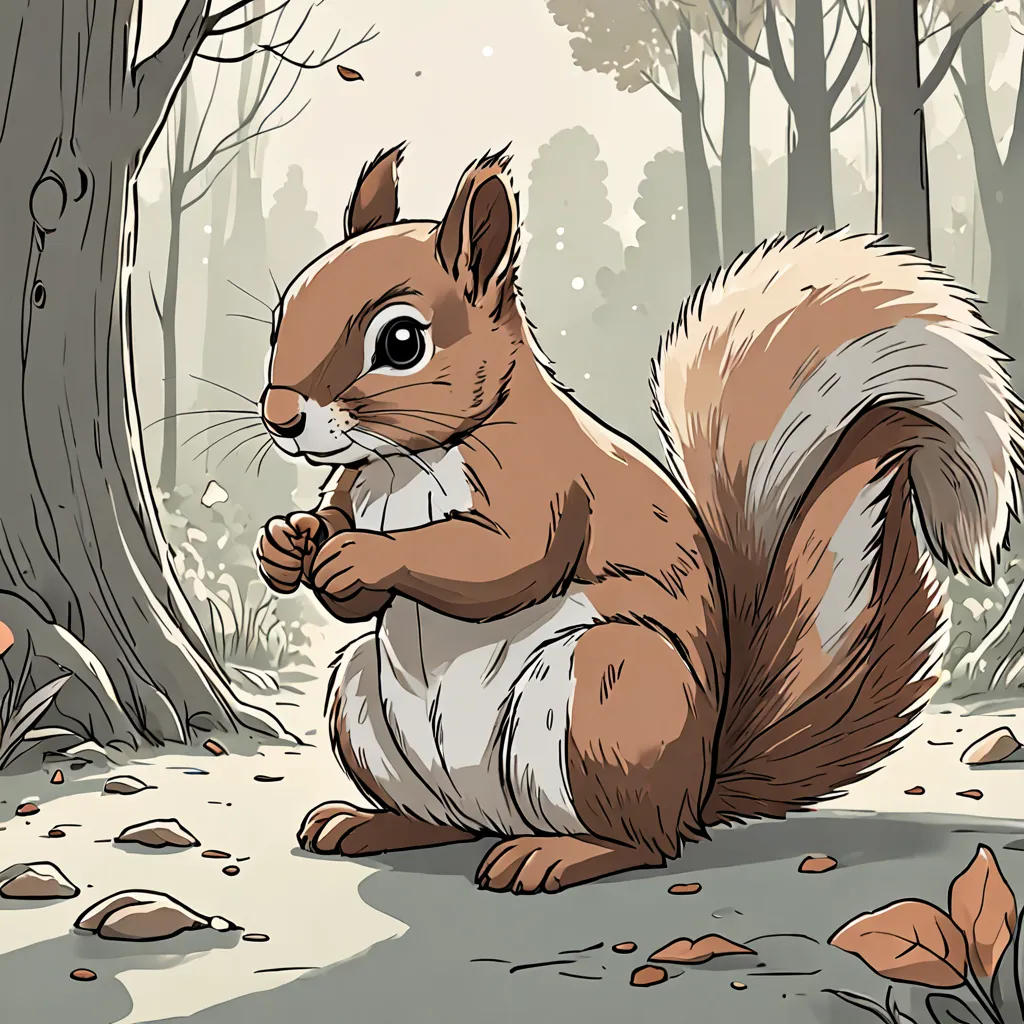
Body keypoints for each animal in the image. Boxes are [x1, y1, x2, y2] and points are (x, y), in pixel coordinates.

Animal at [255, 143, 1023, 894]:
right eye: (280, 317)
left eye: (402, 343)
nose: (280, 417)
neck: (406, 464)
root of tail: (697, 790)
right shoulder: (355, 488)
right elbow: (352, 592)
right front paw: (288, 546)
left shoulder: (543, 483)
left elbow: (504, 562)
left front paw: (362, 553)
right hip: (363, 700)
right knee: (446, 820)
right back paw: (370, 822)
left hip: (611, 691)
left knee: (645, 844)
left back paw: (557, 855)